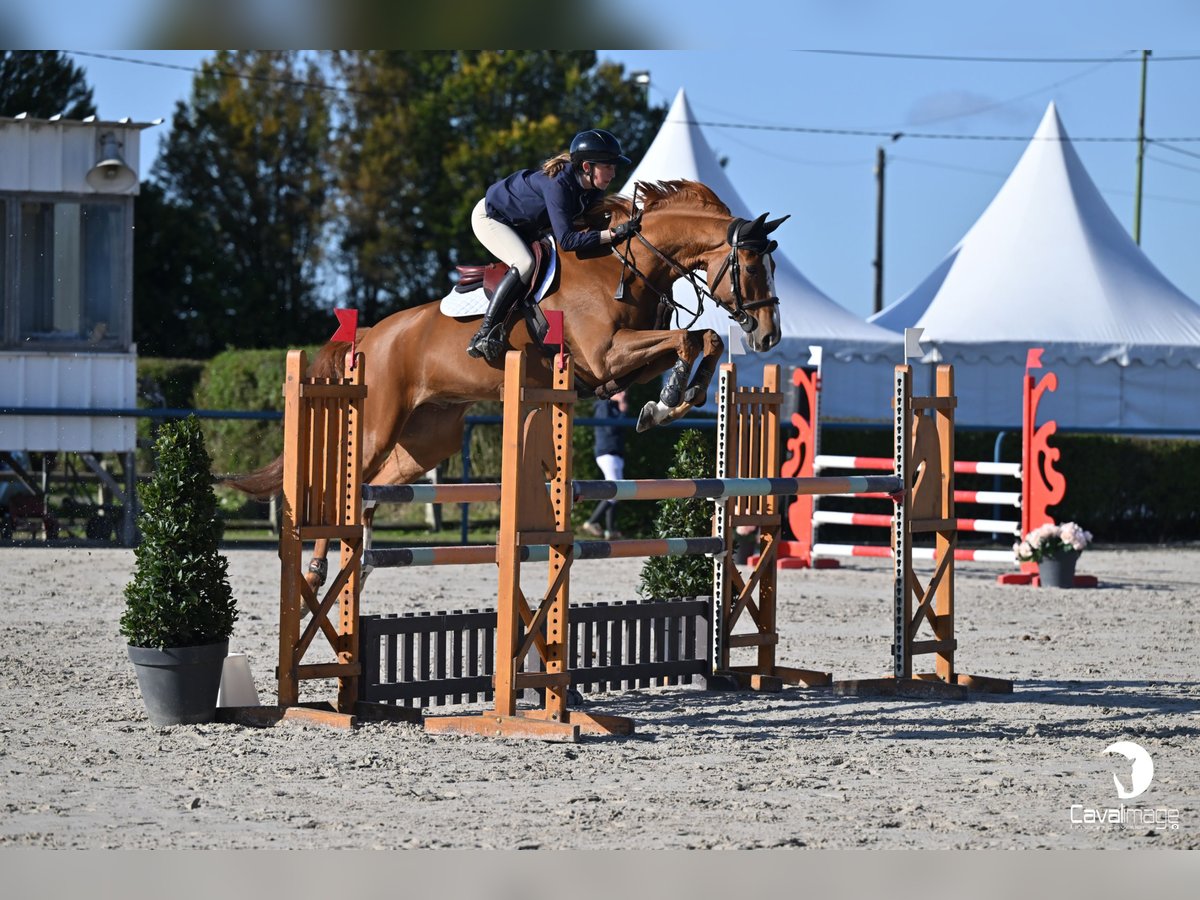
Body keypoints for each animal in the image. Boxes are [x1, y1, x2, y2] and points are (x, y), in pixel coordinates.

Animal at [226, 181, 787, 592]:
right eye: (751, 266)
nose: (768, 336)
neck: (625, 264)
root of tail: (371, 334)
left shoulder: (622, 367)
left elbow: (701, 339)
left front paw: (674, 400)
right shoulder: (607, 357)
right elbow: (692, 338)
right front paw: (669, 402)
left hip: (428, 440)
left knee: (373, 490)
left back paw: (359, 565)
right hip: (378, 424)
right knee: (345, 483)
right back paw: (319, 568)